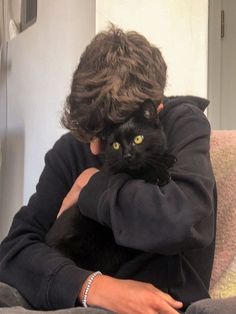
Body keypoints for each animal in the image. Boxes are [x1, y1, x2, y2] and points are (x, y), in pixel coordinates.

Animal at [45, 100, 176, 274]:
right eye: (115, 145)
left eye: (138, 139)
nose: (127, 155)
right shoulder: (114, 172)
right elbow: (138, 172)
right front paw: (158, 173)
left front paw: (167, 158)